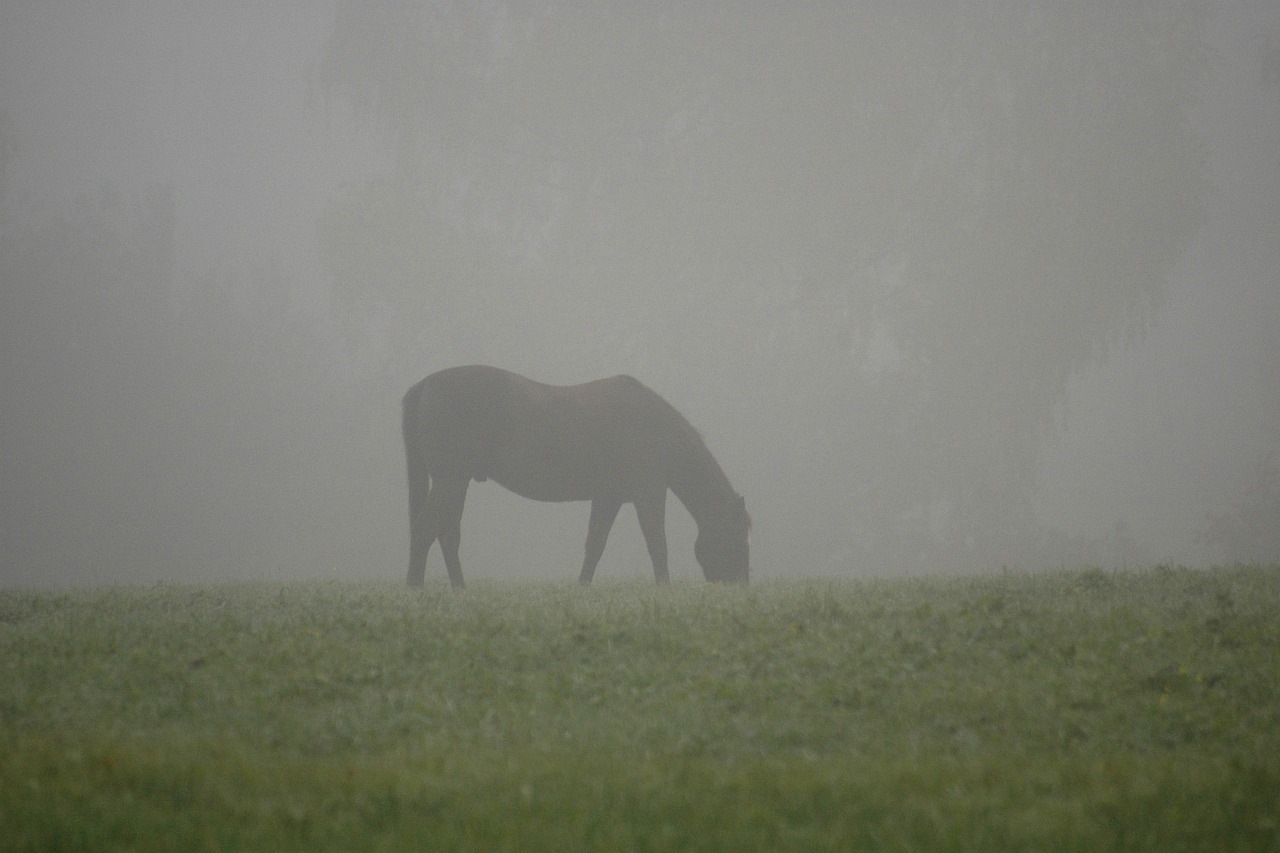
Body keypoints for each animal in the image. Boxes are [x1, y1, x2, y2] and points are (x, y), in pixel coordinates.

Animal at [399, 361, 747, 589]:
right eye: (739, 534)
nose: (742, 584)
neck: (656, 429)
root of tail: (425, 384)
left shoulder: (609, 498)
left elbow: (595, 544)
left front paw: (582, 588)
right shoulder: (648, 494)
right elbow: (656, 542)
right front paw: (664, 589)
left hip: (456, 483)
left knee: (447, 534)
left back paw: (459, 588)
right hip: (450, 482)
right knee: (425, 530)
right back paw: (415, 589)